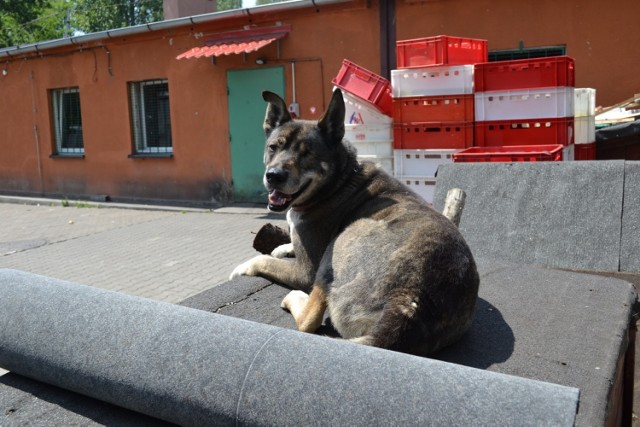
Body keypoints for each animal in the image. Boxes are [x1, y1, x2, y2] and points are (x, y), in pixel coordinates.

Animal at [231, 89, 480, 354]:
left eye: (307, 154)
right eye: (273, 147)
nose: (274, 176)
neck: (338, 181)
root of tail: (407, 303)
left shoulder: (305, 270)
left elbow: (264, 260)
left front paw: (243, 266)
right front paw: (282, 247)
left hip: (342, 241)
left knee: (310, 318)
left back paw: (295, 298)